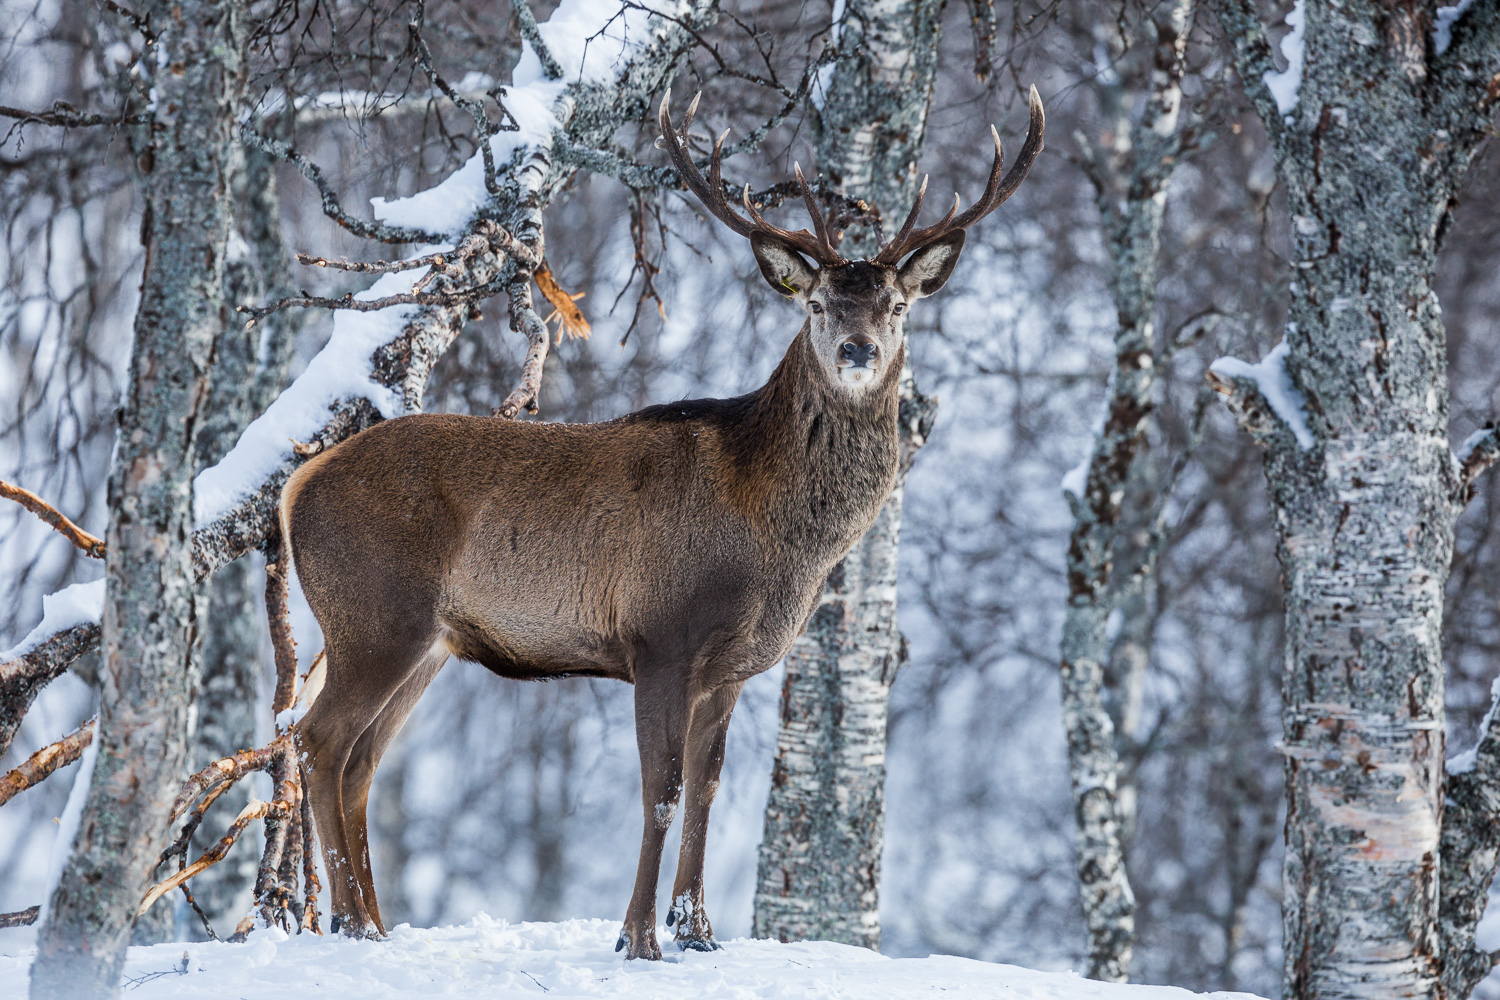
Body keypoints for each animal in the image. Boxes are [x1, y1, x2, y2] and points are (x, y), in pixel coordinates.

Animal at [281, 85, 1043, 959]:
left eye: (897, 304)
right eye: (819, 302)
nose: (857, 348)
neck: (776, 541)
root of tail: (296, 486)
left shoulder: (731, 667)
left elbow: (707, 789)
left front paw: (698, 929)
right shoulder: (659, 635)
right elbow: (661, 788)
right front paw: (639, 937)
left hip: (426, 642)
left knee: (362, 761)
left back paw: (371, 921)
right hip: (374, 615)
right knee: (320, 742)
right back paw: (351, 921)